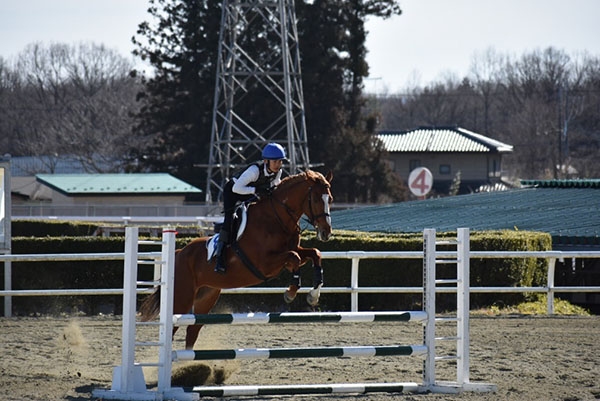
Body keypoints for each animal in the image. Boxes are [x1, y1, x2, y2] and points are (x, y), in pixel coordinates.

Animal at [139, 170, 334, 349]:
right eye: (316, 200)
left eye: (330, 199)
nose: (326, 232)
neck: (276, 218)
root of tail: (179, 253)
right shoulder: (264, 263)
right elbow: (294, 258)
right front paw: (290, 293)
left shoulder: (292, 252)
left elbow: (314, 253)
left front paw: (313, 296)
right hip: (182, 297)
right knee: (173, 328)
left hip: (206, 296)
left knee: (192, 330)